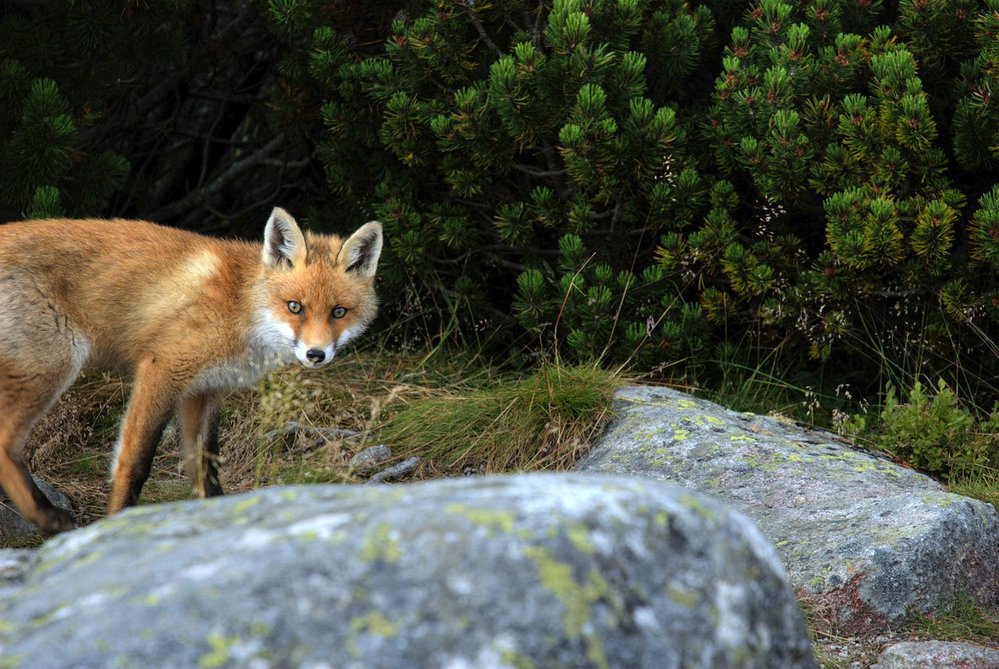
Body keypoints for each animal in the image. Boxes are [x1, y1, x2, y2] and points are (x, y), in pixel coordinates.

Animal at [0, 206, 382, 536]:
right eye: (295, 307)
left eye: (338, 312)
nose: (316, 354)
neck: (240, 305)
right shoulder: (162, 369)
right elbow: (134, 463)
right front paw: (119, 521)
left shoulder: (204, 391)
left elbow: (206, 470)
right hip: (52, 365)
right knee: (6, 443)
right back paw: (47, 517)